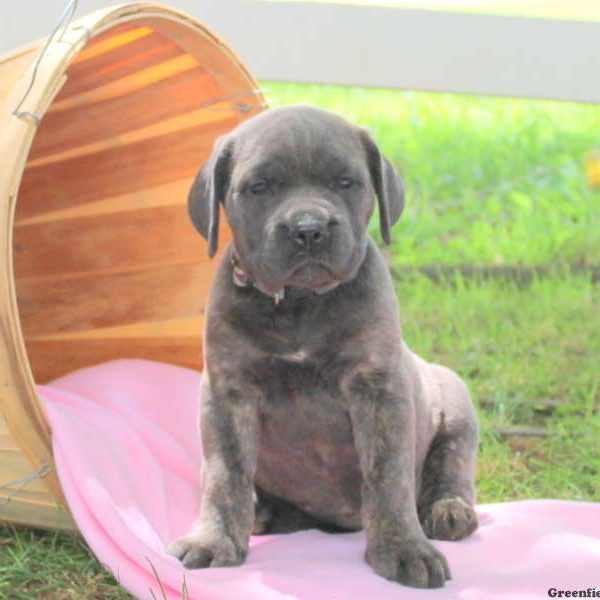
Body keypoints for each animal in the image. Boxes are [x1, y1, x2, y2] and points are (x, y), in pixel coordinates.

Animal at [165, 105, 478, 588]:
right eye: (260, 187)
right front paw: (214, 540)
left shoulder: (379, 388)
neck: (300, 304)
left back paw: (449, 511)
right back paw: (261, 511)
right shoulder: (226, 392)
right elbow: (224, 473)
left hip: (456, 404)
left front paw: (403, 548)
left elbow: (388, 472)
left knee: (452, 466)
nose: (308, 229)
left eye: (346, 182)